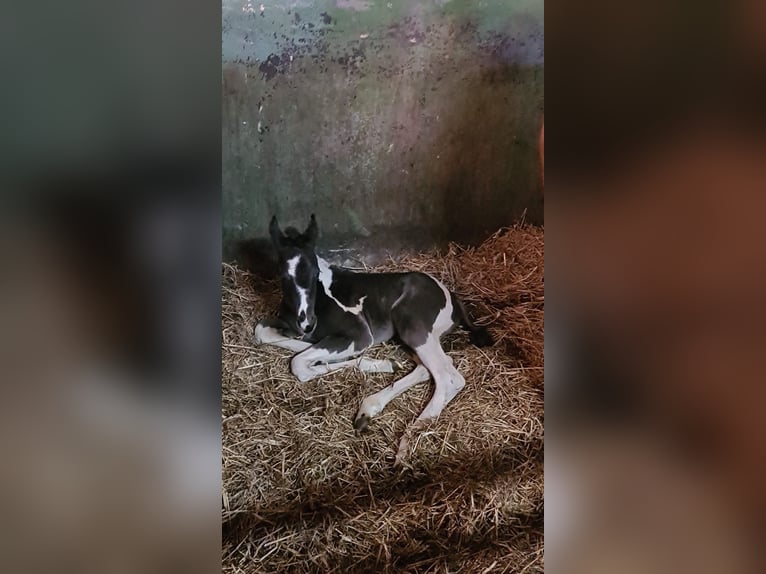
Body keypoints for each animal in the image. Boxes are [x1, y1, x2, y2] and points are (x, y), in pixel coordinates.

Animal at [254, 214, 493, 462]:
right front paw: (381, 364)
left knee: (448, 378)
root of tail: (452, 296)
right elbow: (264, 333)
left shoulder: (360, 335)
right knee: (437, 369)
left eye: (314, 272)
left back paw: (405, 446)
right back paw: (368, 410)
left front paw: (369, 363)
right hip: (407, 337)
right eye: (283, 274)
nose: (307, 322)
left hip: (414, 329)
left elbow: (299, 363)